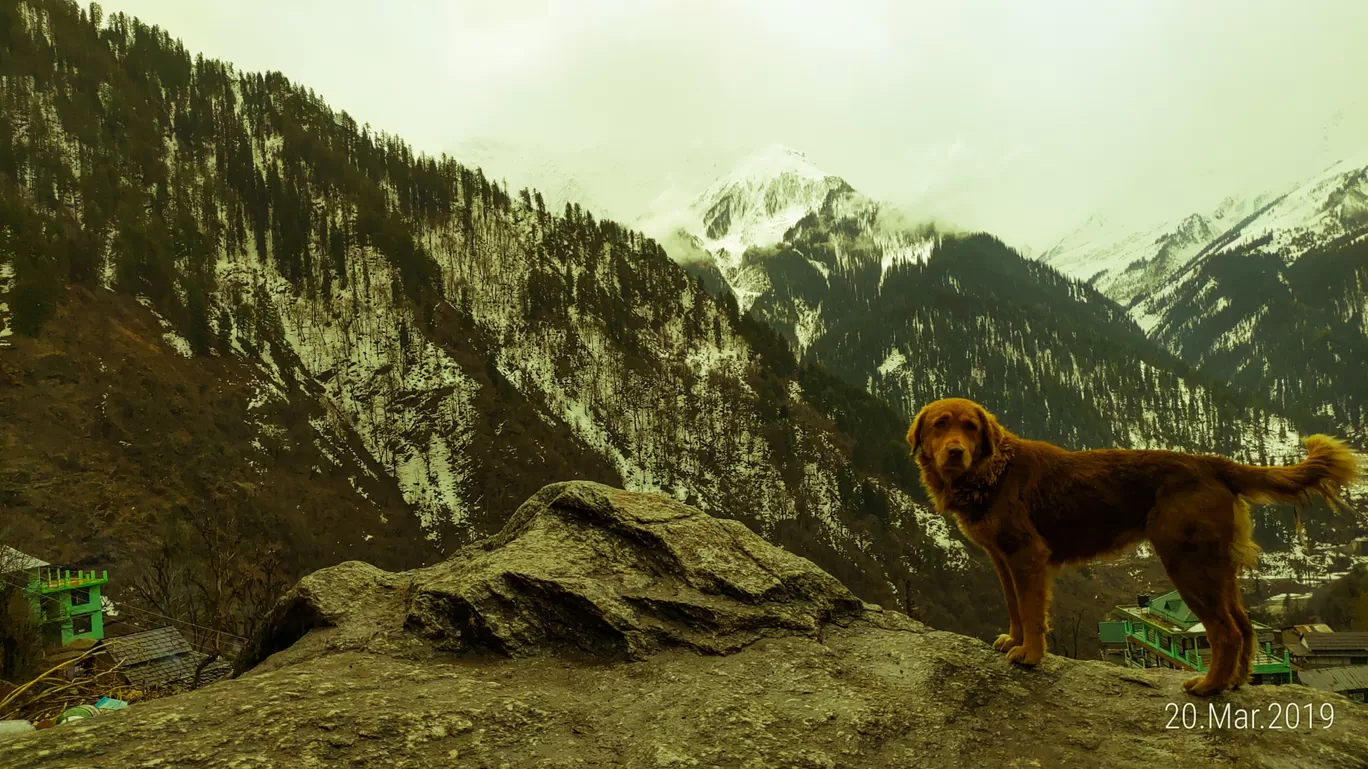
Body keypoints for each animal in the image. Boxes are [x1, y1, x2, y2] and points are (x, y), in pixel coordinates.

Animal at [908, 396, 1357, 692]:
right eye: (940, 425)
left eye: (970, 428)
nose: (955, 452)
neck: (992, 472)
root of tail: (1210, 464)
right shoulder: (1002, 559)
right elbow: (1016, 608)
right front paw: (1013, 641)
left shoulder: (1027, 556)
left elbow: (1033, 612)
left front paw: (1031, 654)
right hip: (1215, 565)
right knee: (1245, 626)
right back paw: (1235, 682)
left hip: (1186, 562)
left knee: (1226, 631)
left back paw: (1208, 686)